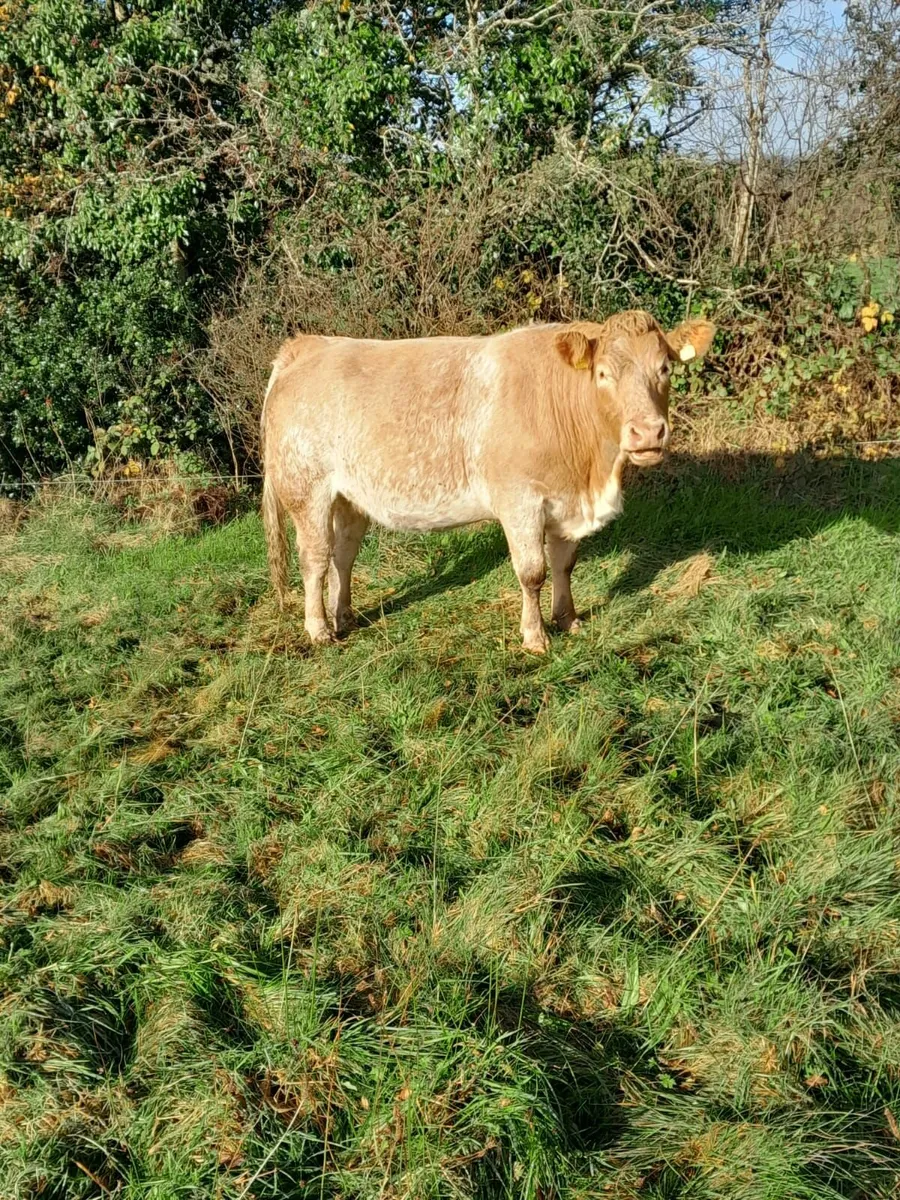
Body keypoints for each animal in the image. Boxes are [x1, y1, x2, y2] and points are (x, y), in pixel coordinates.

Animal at [261, 310, 715, 652]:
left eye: (664, 369)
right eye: (603, 374)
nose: (648, 432)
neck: (590, 476)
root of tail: (310, 345)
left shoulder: (564, 502)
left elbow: (564, 564)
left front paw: (568, 620)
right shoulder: (520, 501)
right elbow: (532, 572)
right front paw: (535, 636)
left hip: (349, 496)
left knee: (343, 555)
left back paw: (345, 617)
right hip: (307, 490)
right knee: (315, 559)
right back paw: (319, 629)